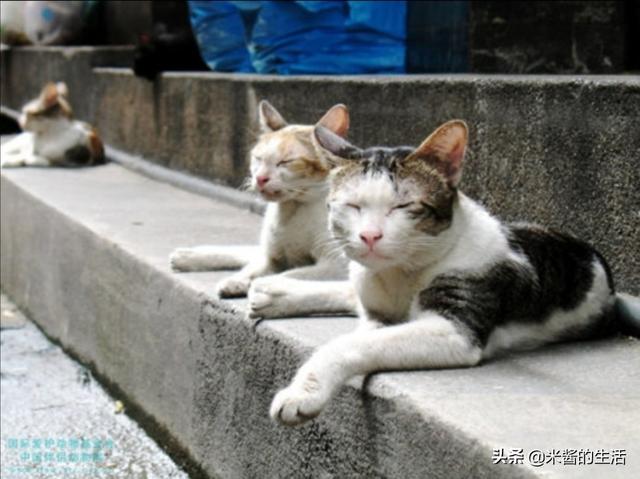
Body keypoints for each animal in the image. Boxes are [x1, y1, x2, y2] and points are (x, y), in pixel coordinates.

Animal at [169, 100, 356, 318]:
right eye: (258, 158)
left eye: (286, 162)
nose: (260, 178)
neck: (291, 210)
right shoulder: (272, 256)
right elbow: (254, 266)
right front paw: (236, 281)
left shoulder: (336, 264)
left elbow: (292, 273)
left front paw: (259, 286)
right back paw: (189, 255)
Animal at [270, 119, 621, 426]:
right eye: (352, 206)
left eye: (402, 206)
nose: (370, 235)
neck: (400, 274)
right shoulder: (375, 306)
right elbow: (365, 326)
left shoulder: (455, 328)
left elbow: (350, 343)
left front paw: (301, 393)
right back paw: (269, 291)